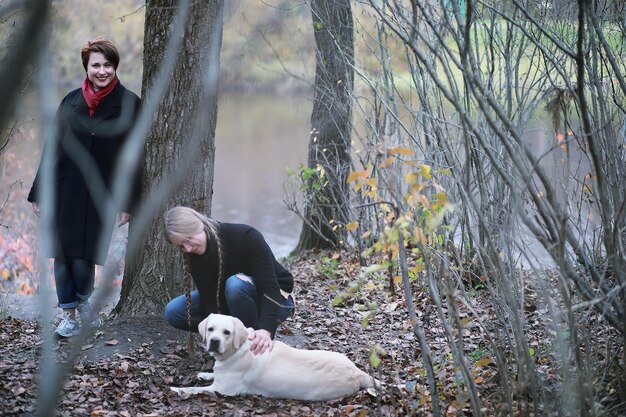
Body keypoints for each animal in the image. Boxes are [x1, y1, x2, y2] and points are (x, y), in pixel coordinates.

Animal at [168, 312, 378, 400]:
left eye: (227, 332)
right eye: (210, 329)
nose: (214, 341)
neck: (239, 349)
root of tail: (357, 372)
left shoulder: (223, 389)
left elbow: (194, 389)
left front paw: (176, 389)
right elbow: (211, 374)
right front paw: (204, 373)